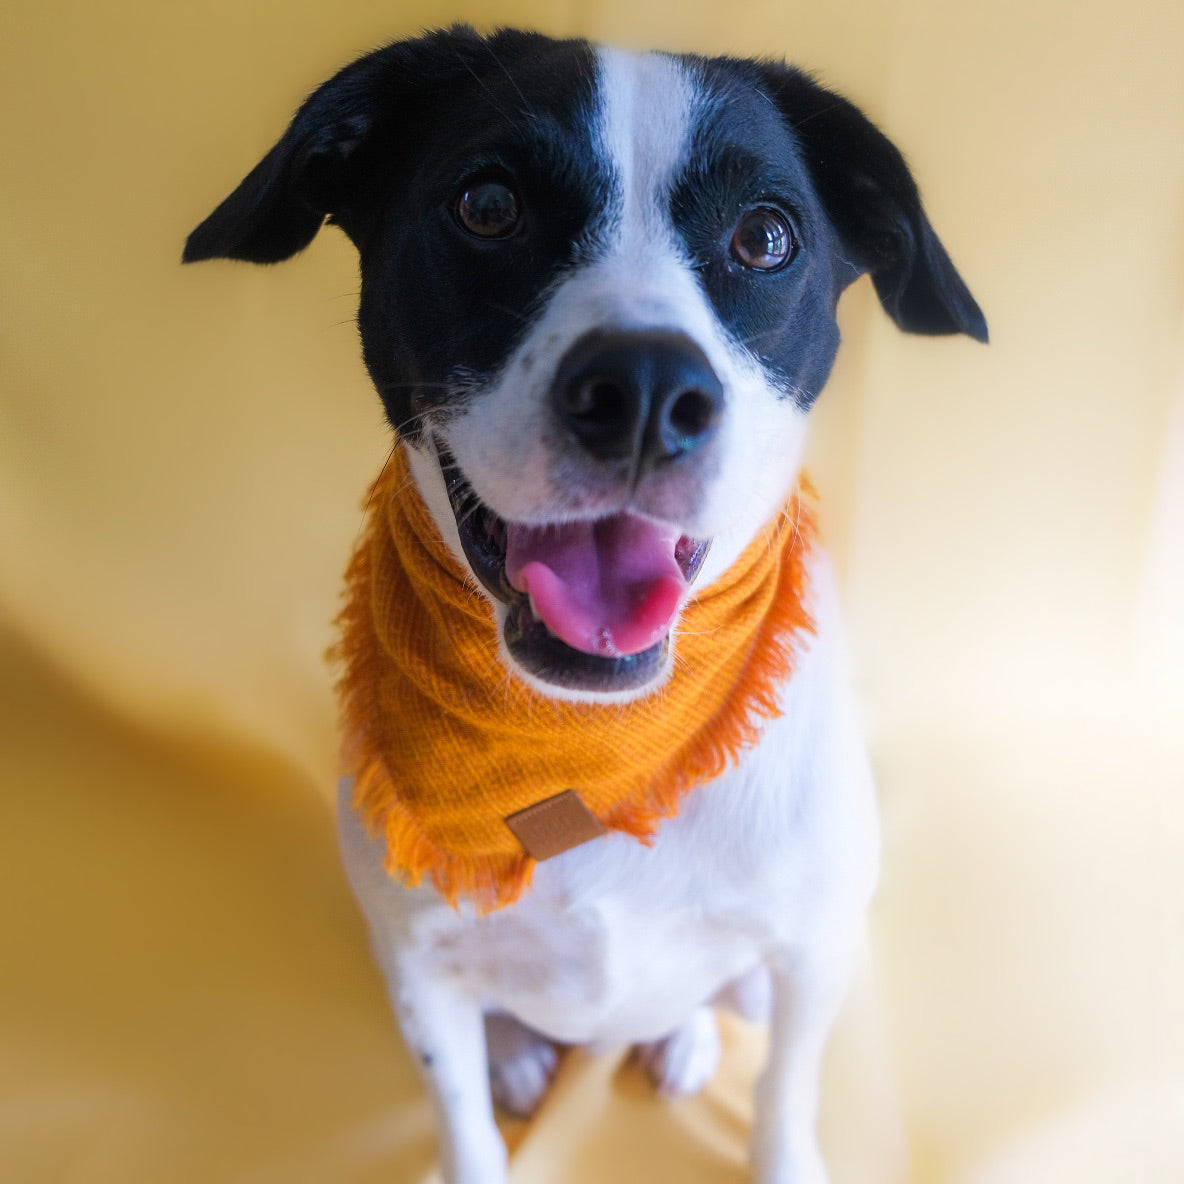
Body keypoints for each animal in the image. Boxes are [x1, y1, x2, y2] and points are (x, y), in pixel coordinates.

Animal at [179, 23, 985, 1179]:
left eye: (765, 236)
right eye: (487, 205)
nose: (645, 390)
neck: (593, 743)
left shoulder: (813, 952)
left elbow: (785, 1094)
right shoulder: (416, 966)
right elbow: (462, 1119)